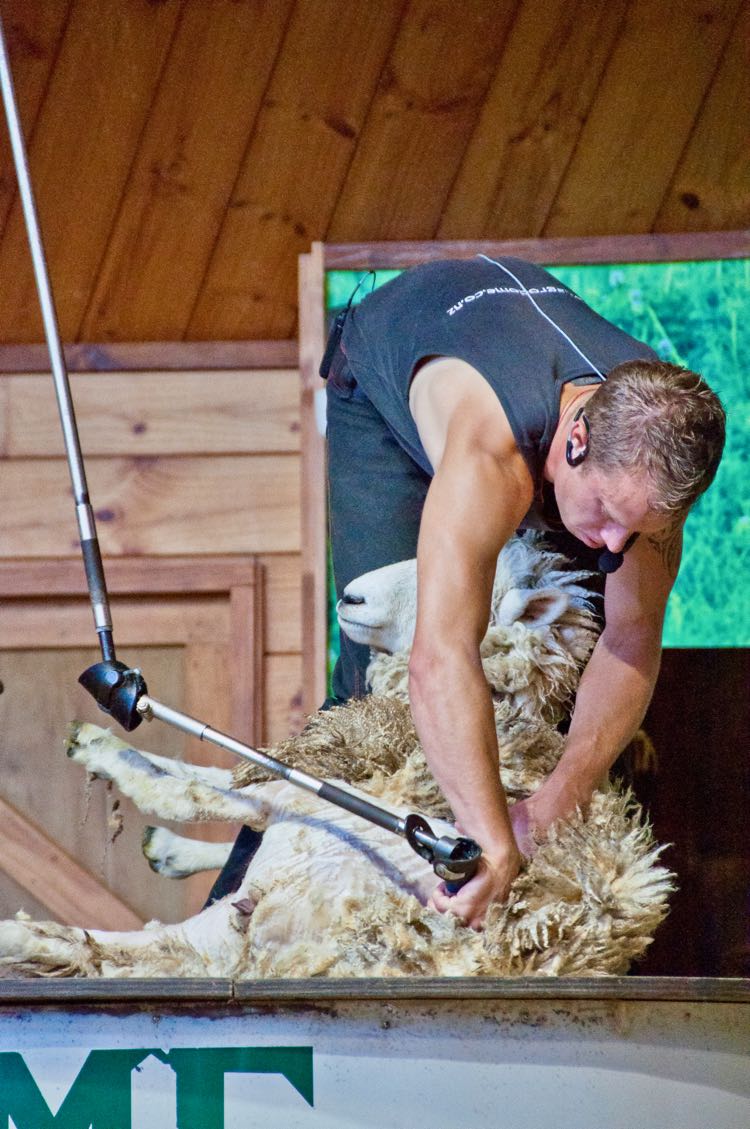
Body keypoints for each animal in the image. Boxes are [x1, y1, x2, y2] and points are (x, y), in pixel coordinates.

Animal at [0, 532, 673, 975]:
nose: (348, 597)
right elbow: (222, 781)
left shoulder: (338, 790)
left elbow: (209, 784)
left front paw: (104, 748)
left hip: (332, 842)